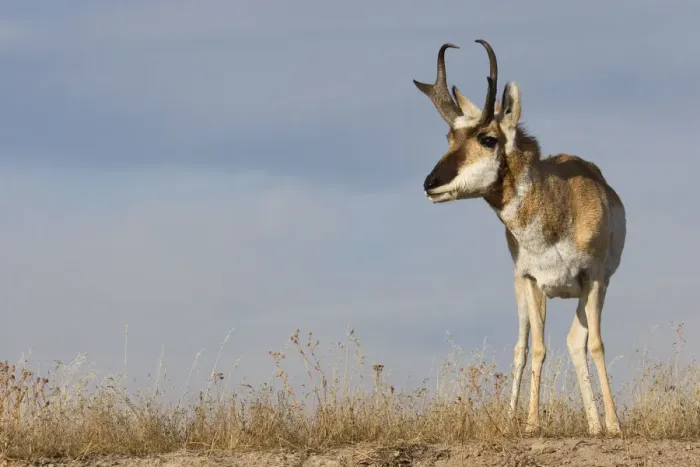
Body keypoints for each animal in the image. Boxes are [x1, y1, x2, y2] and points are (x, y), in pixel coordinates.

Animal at [413, 40, 625, 435]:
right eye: (450, 137)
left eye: (488, 138)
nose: (430, 183)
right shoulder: (531, 280)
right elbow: (537, 348)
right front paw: (530, 424)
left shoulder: (595, 279)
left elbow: (596, 345)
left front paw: (615, 425)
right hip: (522, 292)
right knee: (523, 346)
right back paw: (515, 418)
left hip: (584, 291)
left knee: (577, 341)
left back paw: (595, 425)